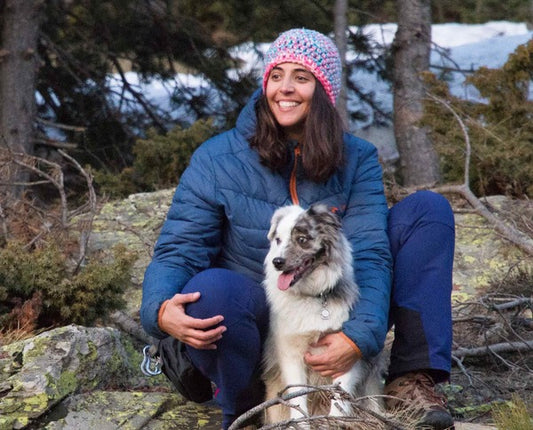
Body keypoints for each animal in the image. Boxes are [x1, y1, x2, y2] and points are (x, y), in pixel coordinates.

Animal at [260, 204, 380, 424]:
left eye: (301, 239)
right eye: (278, 239)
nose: (277, 262)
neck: (314, 297)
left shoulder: (344, 354)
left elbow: (339, 398)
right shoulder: (291, 354)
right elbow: (298, 399)